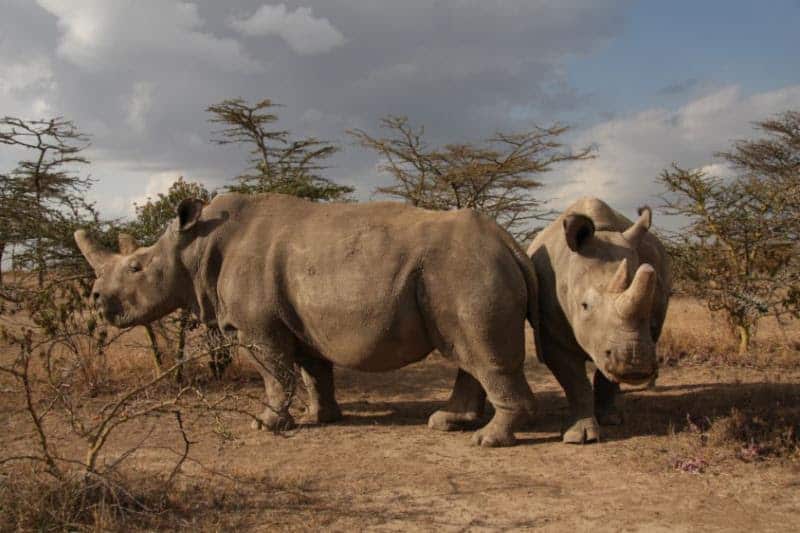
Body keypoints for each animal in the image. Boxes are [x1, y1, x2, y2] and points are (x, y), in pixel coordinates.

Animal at [75, 193, 540, 447]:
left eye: (136, 267)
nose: (96, 298)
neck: (196, 246)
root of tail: (511, 243)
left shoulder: (257, 327)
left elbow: (274, 373)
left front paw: (265, 424)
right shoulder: (300, 322)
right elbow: (313, 371)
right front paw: (321, 417)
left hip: (466, 270)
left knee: (480, 352)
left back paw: (486, 440)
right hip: (461, 270)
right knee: (466, 351)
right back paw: (447, 424)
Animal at [527, 197, 671, 444]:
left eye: (651, 303)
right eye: (584, 306)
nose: (635, 362)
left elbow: (607, 378)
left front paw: (610, 420)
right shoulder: (552, 335)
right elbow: (575, 382)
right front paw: (580, 437)